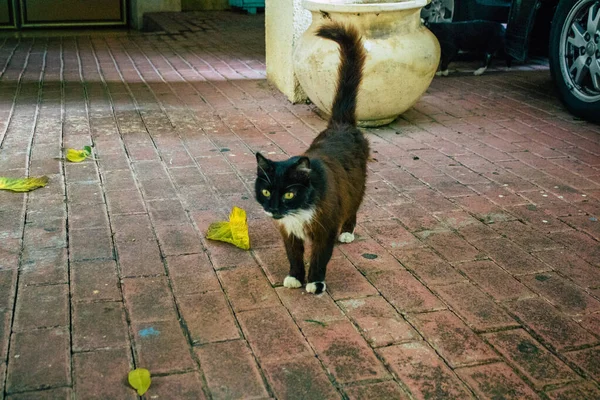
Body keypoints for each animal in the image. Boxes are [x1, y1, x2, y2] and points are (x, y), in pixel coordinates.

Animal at [254, 23, 368, 296]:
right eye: (266, 192)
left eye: (288, 194)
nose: (273, 208)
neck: (300, 211)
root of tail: (340, 125)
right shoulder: (288, 231)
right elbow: (294, 255)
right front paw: (295, 277)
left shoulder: (324, 230)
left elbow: (319, 257)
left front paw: (315, 282)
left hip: (356, 187)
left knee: (353, 207)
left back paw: (347, 232)